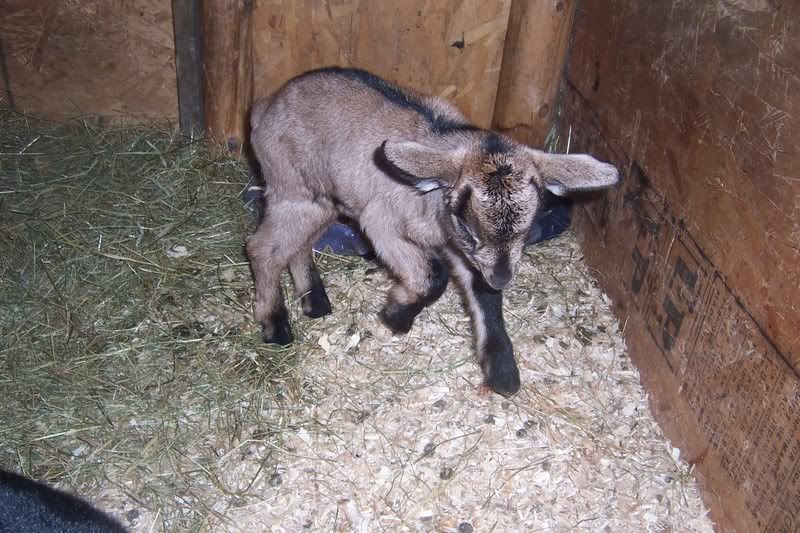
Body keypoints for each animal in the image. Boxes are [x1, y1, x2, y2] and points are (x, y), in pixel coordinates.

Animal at [247, 67, 619, 396]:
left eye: (528, 229)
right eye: (466, 224)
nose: (502, 278)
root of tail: (265, 106)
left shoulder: (470, 256)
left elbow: (484, 298)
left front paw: (503, 375)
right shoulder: (383, 226)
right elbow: (432, 276)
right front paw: (395, 317)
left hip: (323, 200)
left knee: (297, 244)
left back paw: (314, 302)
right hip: (294, 190)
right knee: (260, 247)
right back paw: (276, 326)